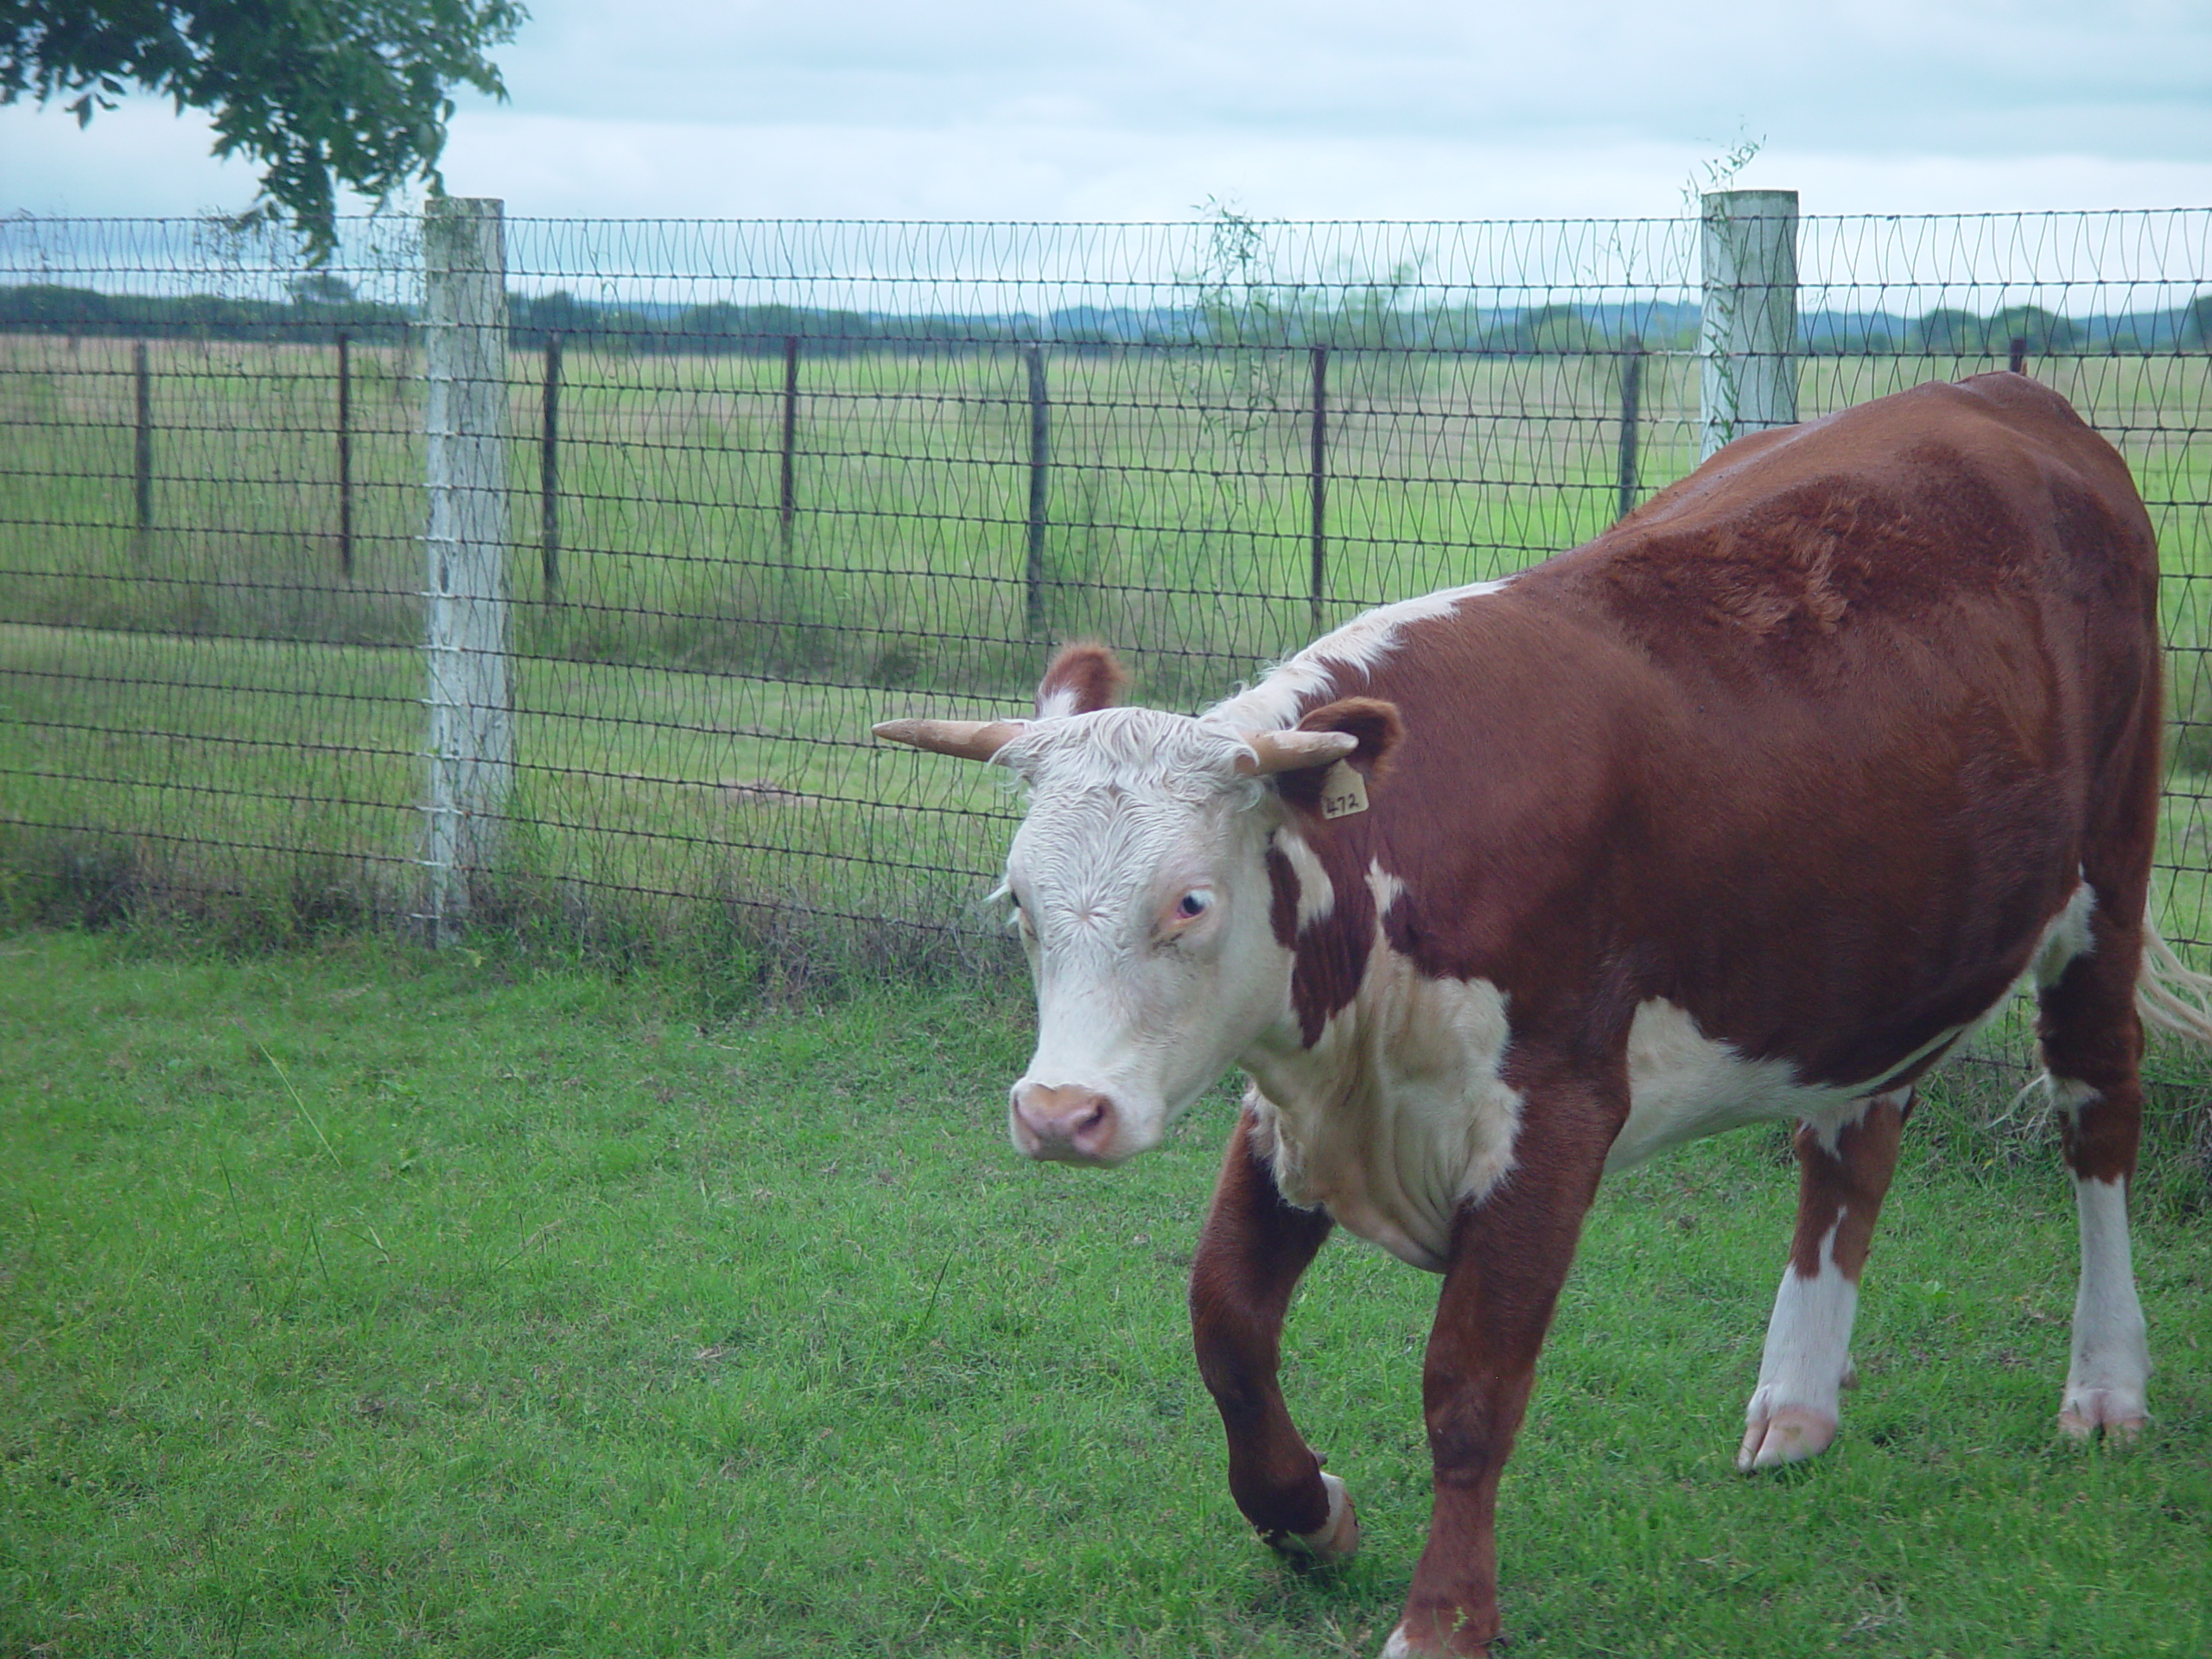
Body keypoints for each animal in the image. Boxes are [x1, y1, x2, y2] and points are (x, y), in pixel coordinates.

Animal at [871, 376, 2202, 1659]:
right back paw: (1798, 1404)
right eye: (1018, 904)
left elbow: (1470, 1384)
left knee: (2099, 1105)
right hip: (1880, 956)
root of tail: (2016, 403)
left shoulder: (1554, 1115)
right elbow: (1226, 1323)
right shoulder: (1299, 1105)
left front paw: (1444, 1619)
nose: (1060, 1112)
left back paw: (2105, 1387)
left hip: (2106, 872)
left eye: (1190, 902)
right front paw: (1308, 1516)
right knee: (1851, 1141)